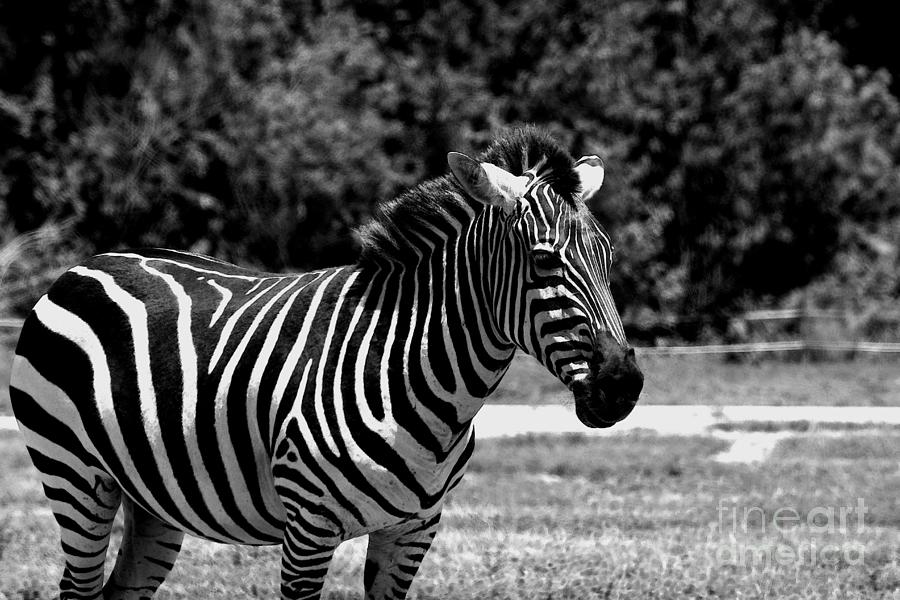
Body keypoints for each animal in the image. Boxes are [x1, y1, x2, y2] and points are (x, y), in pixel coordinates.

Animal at [7, 129, 640, 596]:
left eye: (608, 256)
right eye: (544, 261)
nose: (623, 386)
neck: (414, 373)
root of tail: (89, 263)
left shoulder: (413, 531)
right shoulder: (308, 530)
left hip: (153, 498)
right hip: (75, 476)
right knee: (77, 585)